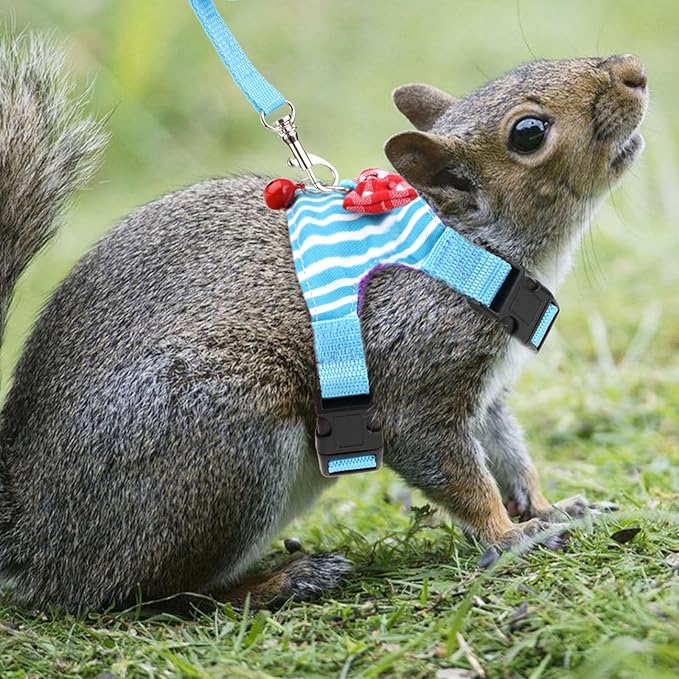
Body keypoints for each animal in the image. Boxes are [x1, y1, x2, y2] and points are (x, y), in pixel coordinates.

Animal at [0, 33, 647, 613]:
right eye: (529, 133)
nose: (634, 70)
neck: (466, 244)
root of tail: (31, 531)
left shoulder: (487, 393)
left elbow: (509, 454)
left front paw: (548, 508)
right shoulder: (414, 368)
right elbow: (450, 467)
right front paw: (510, 536)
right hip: (222, 442)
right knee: (146, 595)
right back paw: (283, 581)